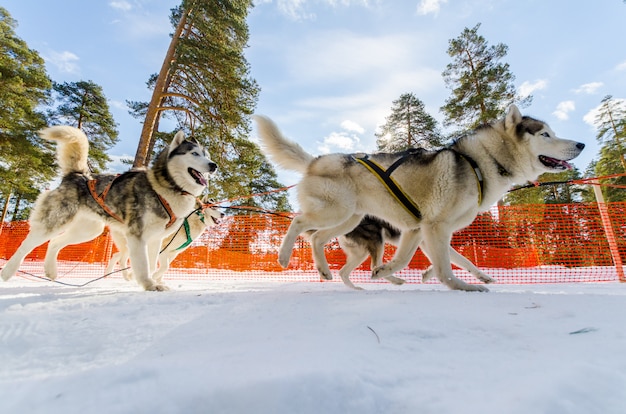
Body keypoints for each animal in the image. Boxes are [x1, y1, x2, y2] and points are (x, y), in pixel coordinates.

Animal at [1, 126, 217, 292]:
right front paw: (149, 285)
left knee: (55, 242)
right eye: (194, 154)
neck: (165, 189)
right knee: (27, 244)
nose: (213, 165)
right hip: (56, 221)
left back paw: (51, 271)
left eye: (207, 155)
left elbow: (152, 262)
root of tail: (78, 174)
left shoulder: (156, 240)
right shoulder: (137, 236)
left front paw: (148, 280)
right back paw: (7, 272)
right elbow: (143, 264)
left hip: (88, 230)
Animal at [255, 107, 584, 294]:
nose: (581, 144)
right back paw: (283, 256)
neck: (480, 162)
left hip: (348, 219)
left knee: (316, 239)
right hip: (336, 212)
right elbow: (445, 268)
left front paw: (387, 272)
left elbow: (415, 259)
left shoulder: (419, 229)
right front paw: (461, 287)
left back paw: (326, 271)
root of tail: (315, 161)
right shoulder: (435, 228)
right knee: (299, 222)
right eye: (545, 134)